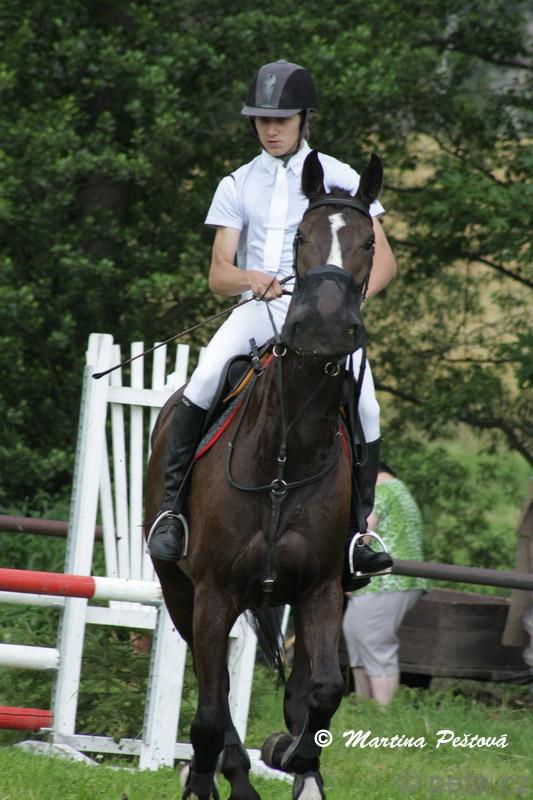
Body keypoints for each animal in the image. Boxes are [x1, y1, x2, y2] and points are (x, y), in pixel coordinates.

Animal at [145, 148, 383, 800]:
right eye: (300, 236)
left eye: (368, 243)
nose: (323, 326)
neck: (284, 454)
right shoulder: (212, 594)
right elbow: (209, 711)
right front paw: (204, 779)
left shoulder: (322, 590)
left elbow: (322, 690)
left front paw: (293, 754)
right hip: (181, 592)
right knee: (217, 697)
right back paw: (230, 775)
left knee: (297, 687)